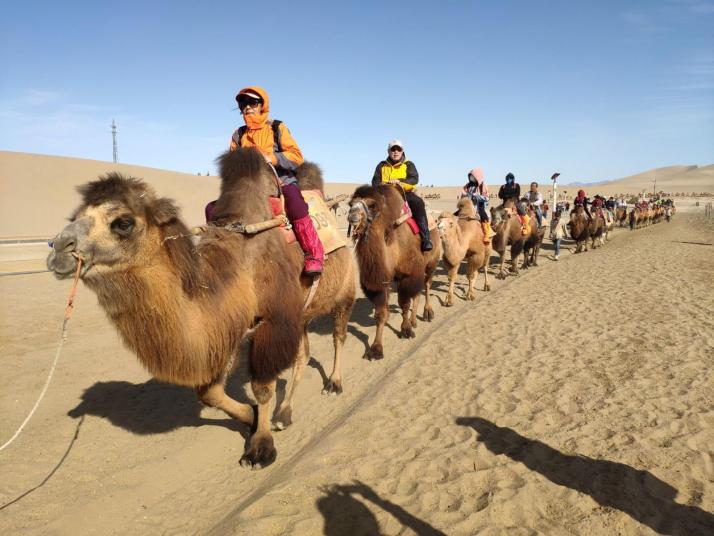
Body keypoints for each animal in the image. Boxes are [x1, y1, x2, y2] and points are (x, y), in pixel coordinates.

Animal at [46, 149, 354, 466]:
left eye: (123, 222)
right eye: (74, 216)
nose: (59, 247)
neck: (240, 266)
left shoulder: (272, 321)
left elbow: (262, 386)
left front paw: (260, 447)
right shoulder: (234, 325)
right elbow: (209, 392)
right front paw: (252, 417)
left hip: (345, 288)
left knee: (338, 336)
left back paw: (334, 383)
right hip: (302, 314)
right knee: (303, 354)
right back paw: (285, 414)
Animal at [346, 183, 440, 360]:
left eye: (372, 205)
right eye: (351, 204)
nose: (352, 214)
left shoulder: (407, 275)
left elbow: (404, 304)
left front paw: (406, 330)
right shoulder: (380, 281)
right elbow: (381, 313)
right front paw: (376, 348)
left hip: (432, 261)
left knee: (427, 285)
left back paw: (427, 313)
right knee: (417, 292)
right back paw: (415, 320)